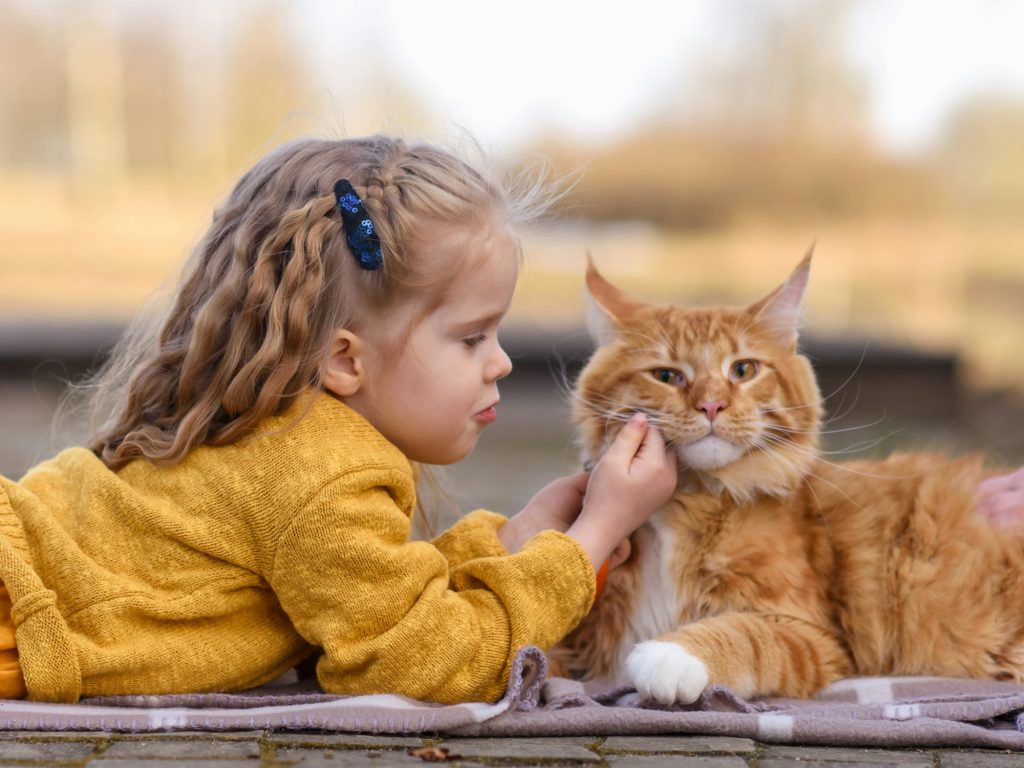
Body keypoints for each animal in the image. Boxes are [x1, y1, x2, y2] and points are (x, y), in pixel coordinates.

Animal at [561, 256, 1024, 708]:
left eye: (743, 370)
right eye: (666, 376)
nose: (711, 405)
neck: (688, 501)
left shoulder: (812, 632)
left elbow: (743, 634)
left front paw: (670, 657)